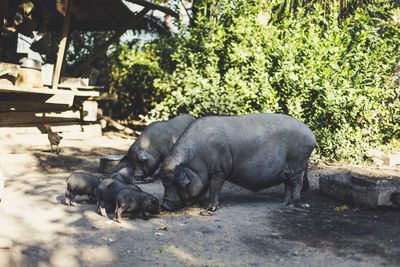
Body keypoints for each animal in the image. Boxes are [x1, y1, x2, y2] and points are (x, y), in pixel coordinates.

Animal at [159, 114, 316, 213]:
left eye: (174, 183)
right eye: (164, 183)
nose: (165, 206)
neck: (197, 159)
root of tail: (311, 135)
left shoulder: (219, 171)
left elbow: (214, 188)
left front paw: (210, 209)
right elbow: (204, 188)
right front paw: (198, 203)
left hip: (297, 164)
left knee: (296, 184)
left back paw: (292, 204)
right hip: (288, 170)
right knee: (288, 184)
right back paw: (283, 203)